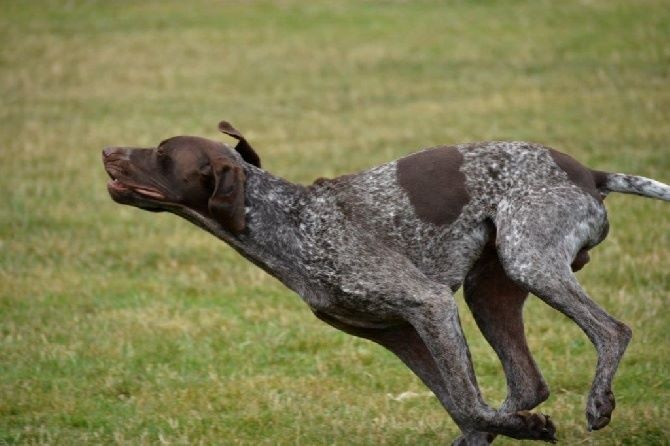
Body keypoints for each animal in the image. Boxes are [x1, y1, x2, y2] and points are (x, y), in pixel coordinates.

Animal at [102, 120, 668, 444]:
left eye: (162, 152)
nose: (107, 150)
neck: (291, 221)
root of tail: (589, 174)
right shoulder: (395, 333)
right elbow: (464, 407)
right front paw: (512, 430)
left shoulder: (429, 304)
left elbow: (467, 403)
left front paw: (524, 429)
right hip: (490, 289)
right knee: (527, 385)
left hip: (528, 260)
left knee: (612, 332)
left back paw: (596, 403)